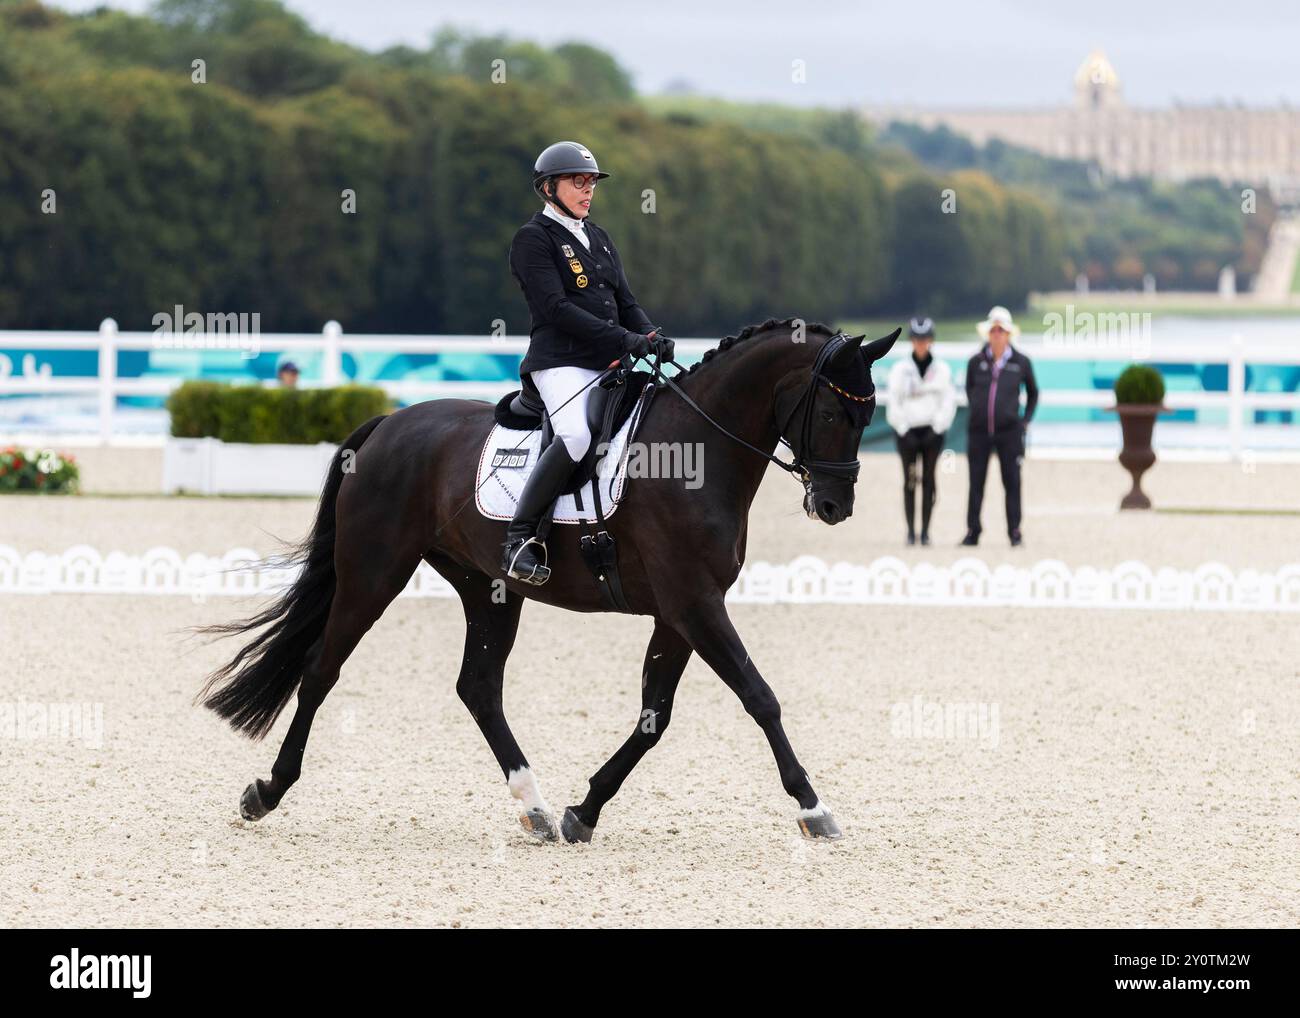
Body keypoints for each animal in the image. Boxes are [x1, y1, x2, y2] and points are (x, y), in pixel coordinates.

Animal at [200, 318, 894, 842]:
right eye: (831, 411)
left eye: (868, 417)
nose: (835, 505)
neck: (697, 449)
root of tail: (388, 425)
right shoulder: (695, 605)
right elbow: (760, 696)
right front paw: (814, 807)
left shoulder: (680, 612)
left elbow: (656, 715)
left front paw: (583, 811)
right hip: (374, 572)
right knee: (322, 668)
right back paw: (266, 790)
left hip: (488, 588)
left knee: (478, 687)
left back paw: (533, 804)